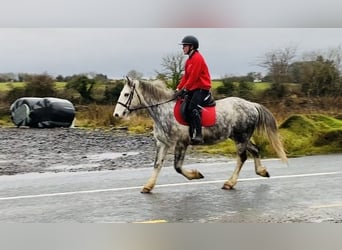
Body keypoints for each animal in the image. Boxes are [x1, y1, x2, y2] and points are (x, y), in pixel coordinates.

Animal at [113, 78, 286, 193]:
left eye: (126, 94)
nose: (116, 115)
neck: (163, 110)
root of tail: (252, 105)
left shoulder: (181, 143)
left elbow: (177, 167)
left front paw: (195, 175)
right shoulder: (162, 143)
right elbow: (157, 165)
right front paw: (148, 186)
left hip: (240, 138)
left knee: (242, 158)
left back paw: (230, 183)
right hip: (240, 138)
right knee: (255, 149)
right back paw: (262, 171)